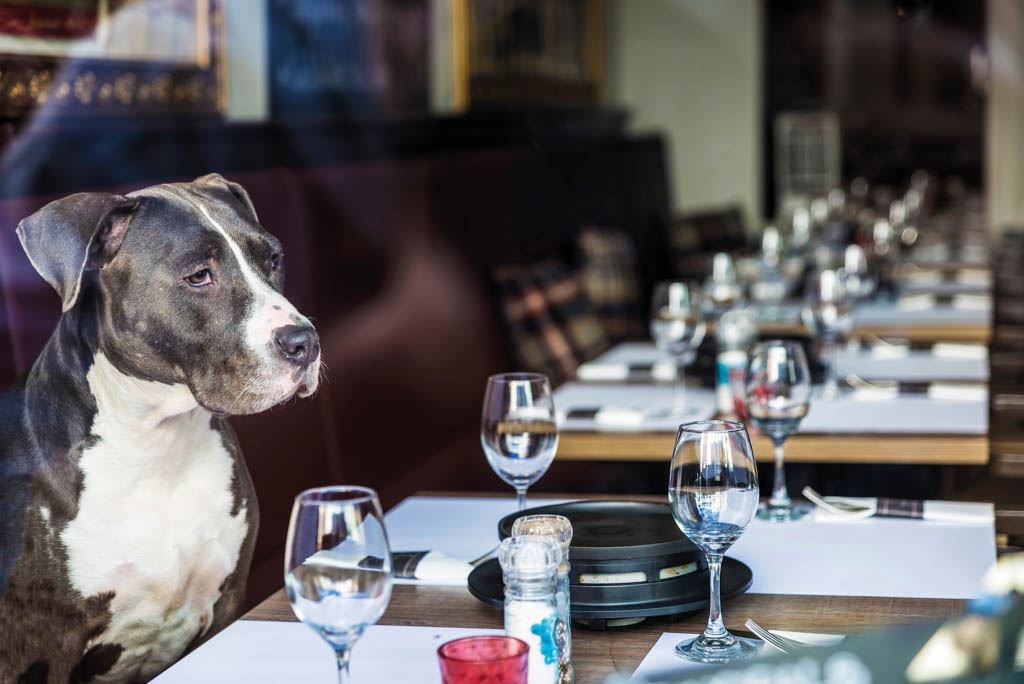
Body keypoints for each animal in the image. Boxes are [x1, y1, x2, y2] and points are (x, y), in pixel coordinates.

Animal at [0, 174, 319, 679]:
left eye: (272, 258)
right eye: (199, 276)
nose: (305, 341)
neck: (156, 447)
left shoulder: (227, 601)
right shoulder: (47, 651)